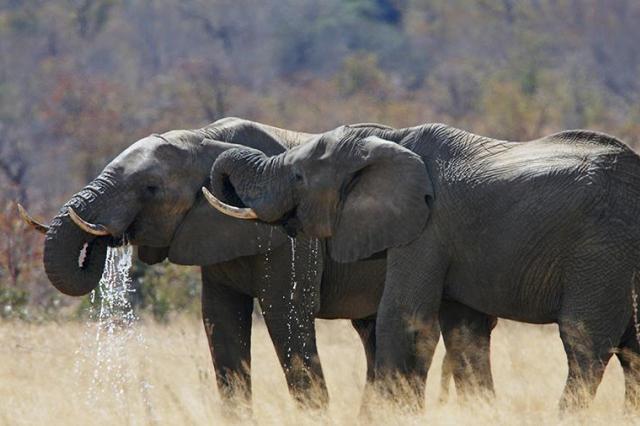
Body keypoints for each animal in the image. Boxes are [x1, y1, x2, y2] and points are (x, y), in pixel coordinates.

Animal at [18, 118, 490, 412]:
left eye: (150, 188)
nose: (107, 237)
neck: (203, 135)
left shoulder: (287, 241)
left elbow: (285, 317)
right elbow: (220, 322)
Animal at [206, 121, 640, 412]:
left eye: (298, 176)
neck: (387, 139)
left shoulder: (427, 229)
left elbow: (403, 319)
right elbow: (464, 333)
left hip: (601, 247)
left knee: (585, 341)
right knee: (632, 346)